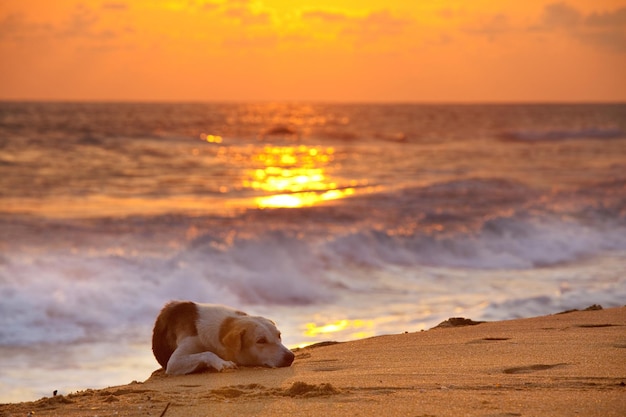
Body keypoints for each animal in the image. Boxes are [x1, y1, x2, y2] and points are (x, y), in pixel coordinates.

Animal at [153, 300, 294, 374]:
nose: (291, 356)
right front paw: (223, 363)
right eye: (261, 341)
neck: (222, 326)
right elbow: (207, 353)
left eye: (279, 336)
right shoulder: (174, 363)